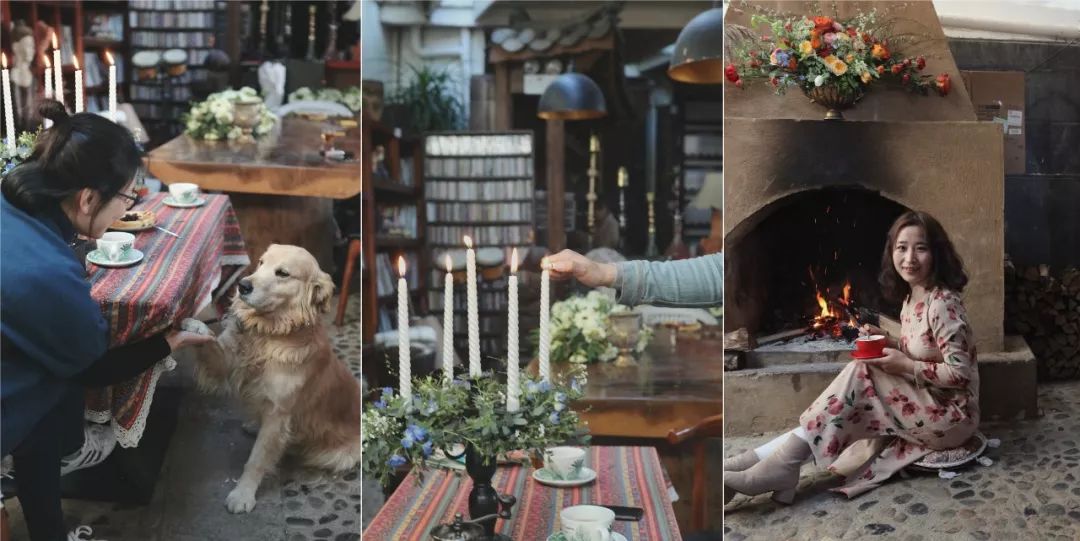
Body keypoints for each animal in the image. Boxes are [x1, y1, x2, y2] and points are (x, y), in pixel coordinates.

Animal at [180, 242, 358, 511]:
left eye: (282, 273)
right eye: (261, 263)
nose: (242, 285)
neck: (268, 332)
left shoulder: (278, 413)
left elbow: (257, 459)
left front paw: (243, 494)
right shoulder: (226, 363)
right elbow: (210, 343)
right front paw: (195, 326)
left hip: (338, 454)